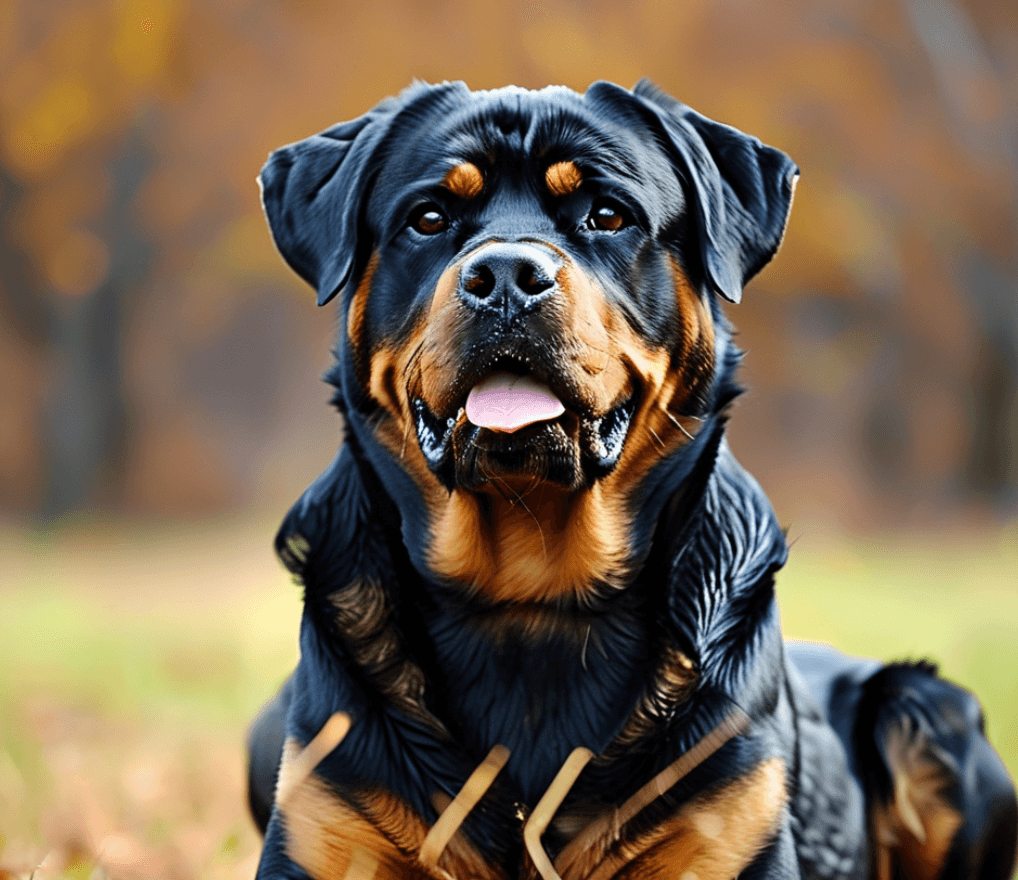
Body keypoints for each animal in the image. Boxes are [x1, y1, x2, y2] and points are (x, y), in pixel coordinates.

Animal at [248, 82, 1018, 880]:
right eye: (428, 218)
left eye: (607, 215)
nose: (505, 278)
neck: (531, 598)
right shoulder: (324, 824)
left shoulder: (728, 829)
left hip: (925, 706)